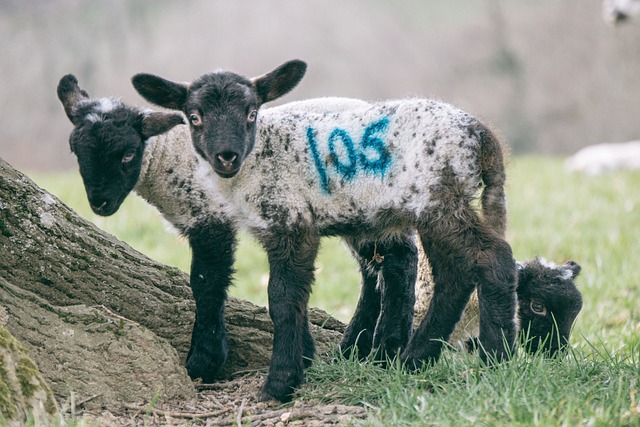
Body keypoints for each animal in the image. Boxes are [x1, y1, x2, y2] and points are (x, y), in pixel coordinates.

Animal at [134, 59, 520, 402]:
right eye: (194, 117)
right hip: (431, 208)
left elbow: (281, 298)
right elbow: (291, 298)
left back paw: (495, 359)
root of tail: (481, 134)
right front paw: (302, 363)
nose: (226, 156)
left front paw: (279, 384)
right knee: (454, 275)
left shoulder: (291, 222)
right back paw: (415, 359)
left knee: (492, 257)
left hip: (438, 199)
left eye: (251, 113)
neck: (257, 159)